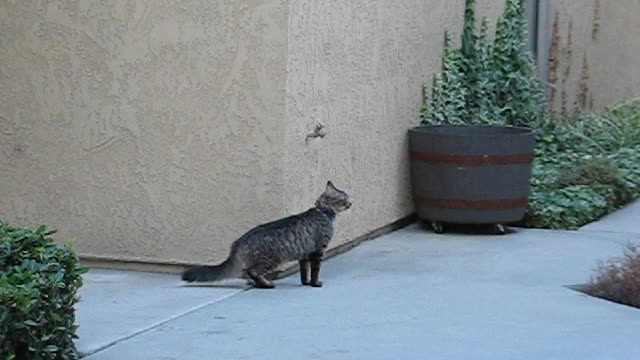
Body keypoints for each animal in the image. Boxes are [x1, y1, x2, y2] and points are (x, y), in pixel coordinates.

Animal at [181, 181, 350, 288]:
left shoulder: (304, 255)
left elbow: (304, 272)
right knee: (252, 272)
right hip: (273, 259)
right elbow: (315, 271)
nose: (351, 203)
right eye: (344, 199)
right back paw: (267, 285)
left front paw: (306, 283)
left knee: (248, 273)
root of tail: (238, 243)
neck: (323, 212)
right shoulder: (318, 251)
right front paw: (315, 284)